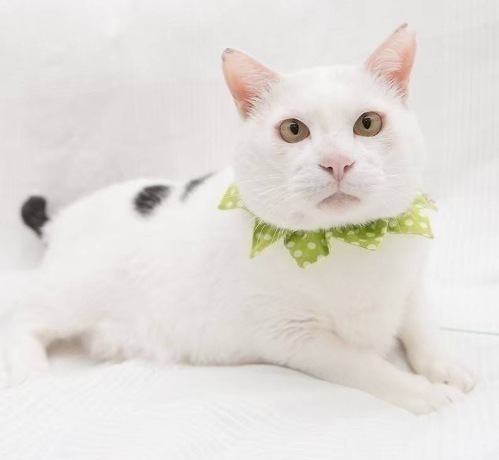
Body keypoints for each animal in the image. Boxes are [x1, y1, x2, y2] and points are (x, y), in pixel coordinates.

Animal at [3, 24, 475, 414]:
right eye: (293, 130)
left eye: (368, 123)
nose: (337, 162)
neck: (350, 241)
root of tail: (61, 219)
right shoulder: (295, 338)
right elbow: (368, 367)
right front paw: (421, 391)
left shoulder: (412, 286)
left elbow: (423, 326)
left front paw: (446, 364)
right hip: (69, 295)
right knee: (22, 319)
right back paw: (31, 375)